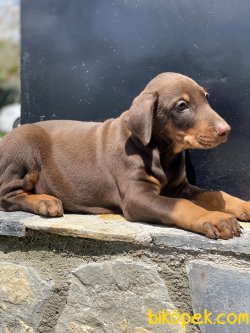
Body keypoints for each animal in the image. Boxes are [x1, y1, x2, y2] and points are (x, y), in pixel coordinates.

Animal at [0, 72, 250, 239]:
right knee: (7, 194)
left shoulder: (179, 186)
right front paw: (215, 218)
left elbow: (215, 194)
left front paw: (244, 205)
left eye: (206, 97)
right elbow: (181, 205)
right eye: (182, 106)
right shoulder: (137, 196)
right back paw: (45, 201)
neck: (162, 153)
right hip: (23, 149)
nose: (226, 130)